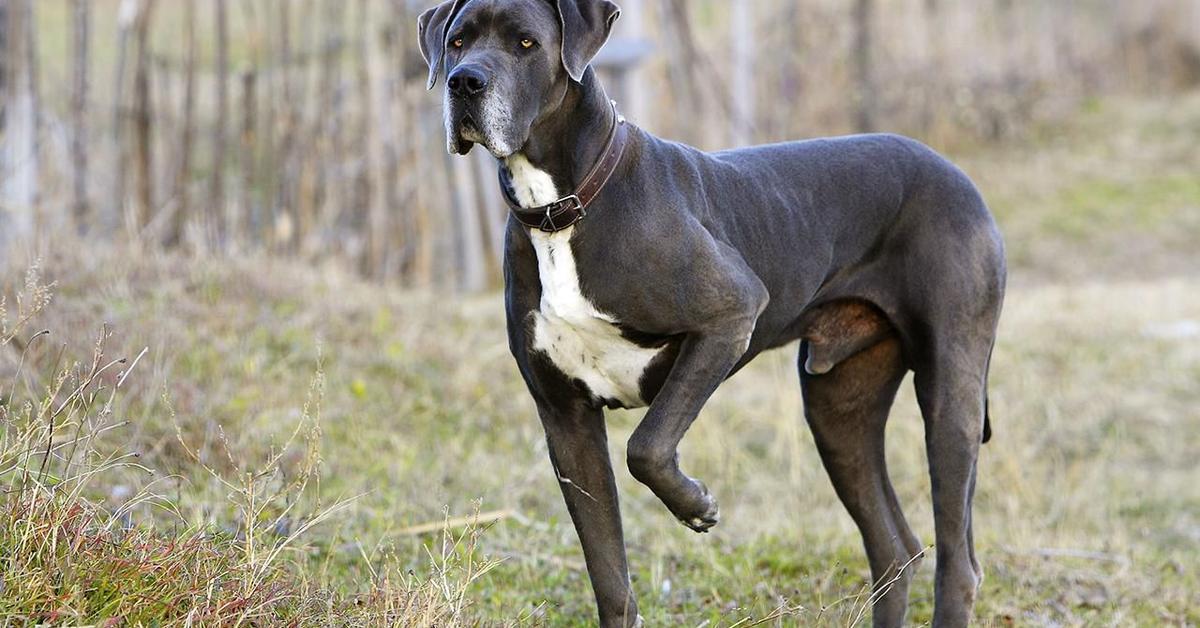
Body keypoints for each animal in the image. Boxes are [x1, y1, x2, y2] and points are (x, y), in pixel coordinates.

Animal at [420, 2, 1003, 624]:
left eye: (526, 43)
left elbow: (647, 447)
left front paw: (697, 506)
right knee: (894, 548)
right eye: (458, 42)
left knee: (958, 560)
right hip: (837, 407)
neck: (563, 207)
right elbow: (609, 574)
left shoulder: (730, 314)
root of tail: (954, 171)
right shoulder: (566, 420)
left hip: (950, 393)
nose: (464, 83)